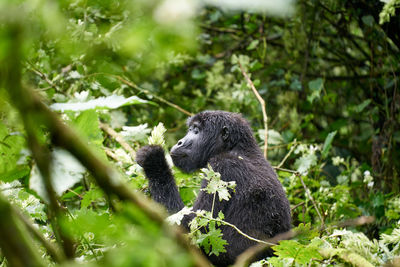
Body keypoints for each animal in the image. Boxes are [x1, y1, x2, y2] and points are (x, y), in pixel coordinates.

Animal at [137, 110, 290, 266]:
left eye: (196, 131)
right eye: (190, 129)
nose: (180, 142)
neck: (236, 148)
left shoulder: (221, 167)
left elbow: (191, 227)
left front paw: (154, 160)